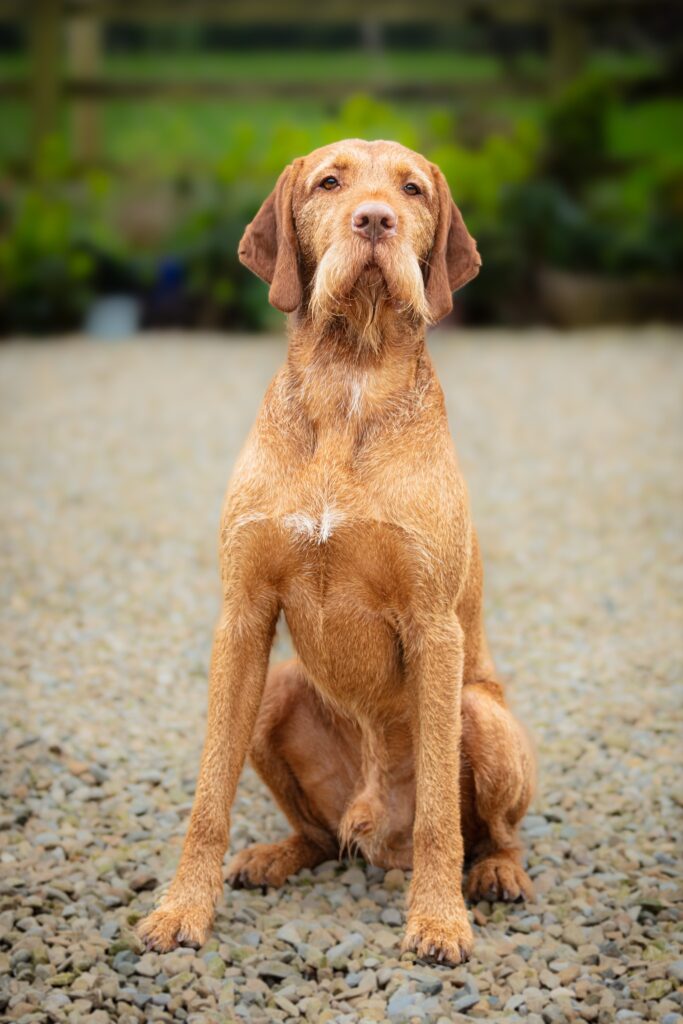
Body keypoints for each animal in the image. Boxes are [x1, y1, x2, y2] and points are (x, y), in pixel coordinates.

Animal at [137, 140, 532, 962]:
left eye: (412, 190)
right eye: (329, 182)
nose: (375, 220)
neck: (351, 371)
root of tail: (376, 834)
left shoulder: (434, 628)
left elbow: (442, 815)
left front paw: (438, 920)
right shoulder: (243, 616)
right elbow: (209, 795)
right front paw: (182, 909)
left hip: (481, 713)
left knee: (491, 831)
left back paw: (495, 874)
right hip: (278, 692)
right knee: (320, 836)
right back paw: (276, 855)